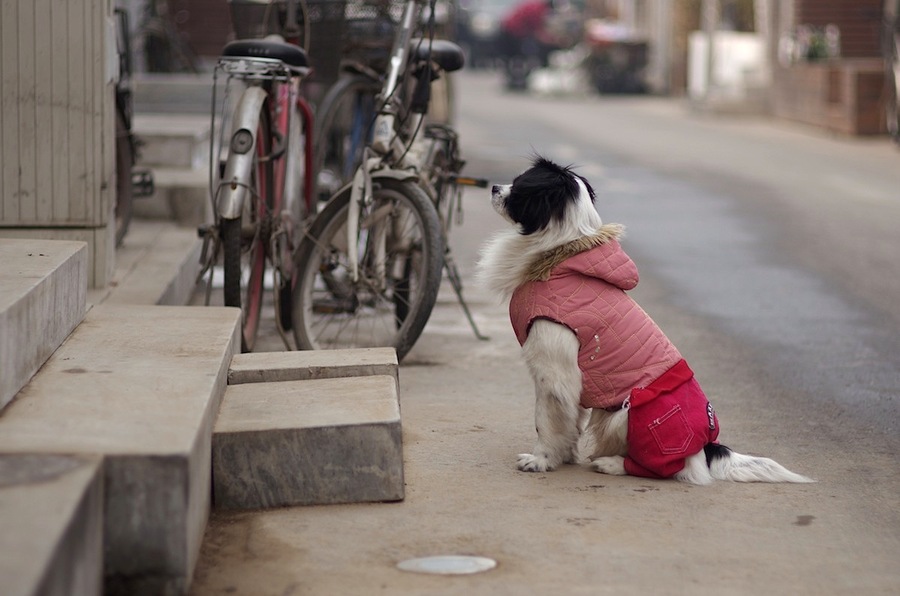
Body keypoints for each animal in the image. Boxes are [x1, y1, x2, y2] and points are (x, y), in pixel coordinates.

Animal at [478, 155, 816, 484]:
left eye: (519, 187)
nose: (493, 187)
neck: (562, 255)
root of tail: (706, 447)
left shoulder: (554, 372)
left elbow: (545, 421)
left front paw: (541, 460)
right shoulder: (569, 383)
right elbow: (571, 419)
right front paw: (565, 456)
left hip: (630, 413)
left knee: (674, 470)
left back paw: (612, 464)